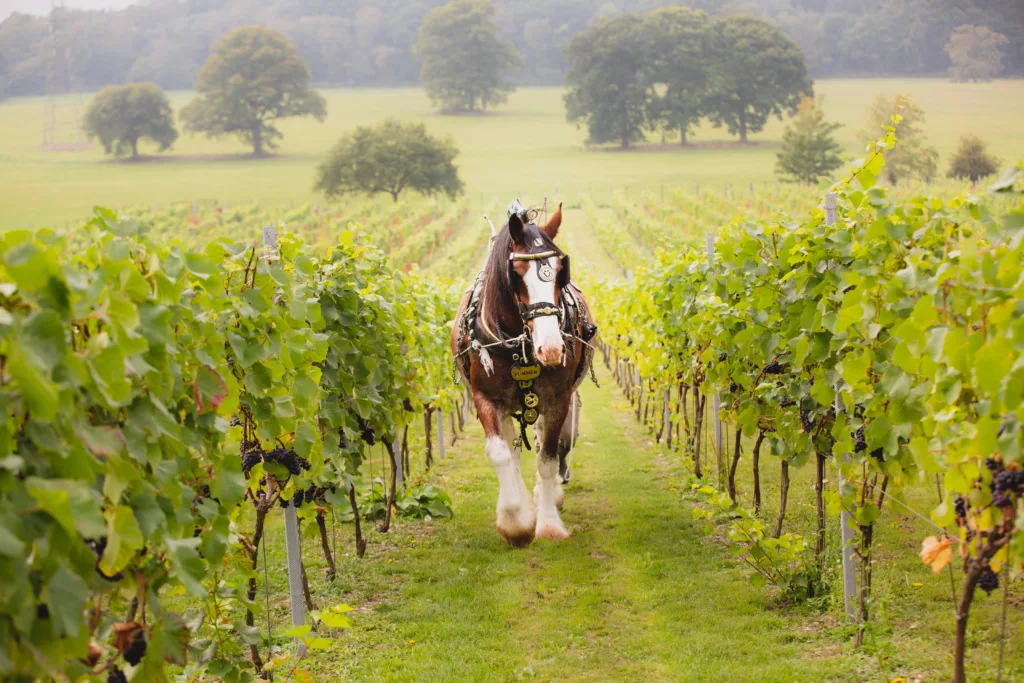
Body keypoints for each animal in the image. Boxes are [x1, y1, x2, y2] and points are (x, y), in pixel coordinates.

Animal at [451, 201, 597, 547]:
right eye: (515, 274)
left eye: (559, 272)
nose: (552, 348)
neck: (519, 343)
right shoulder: (485, 398)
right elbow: (500, 453)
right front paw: (516, 522)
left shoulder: (557, 400)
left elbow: (547, 459)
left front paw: (548, 523)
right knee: (513, 449)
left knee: (548, 445)